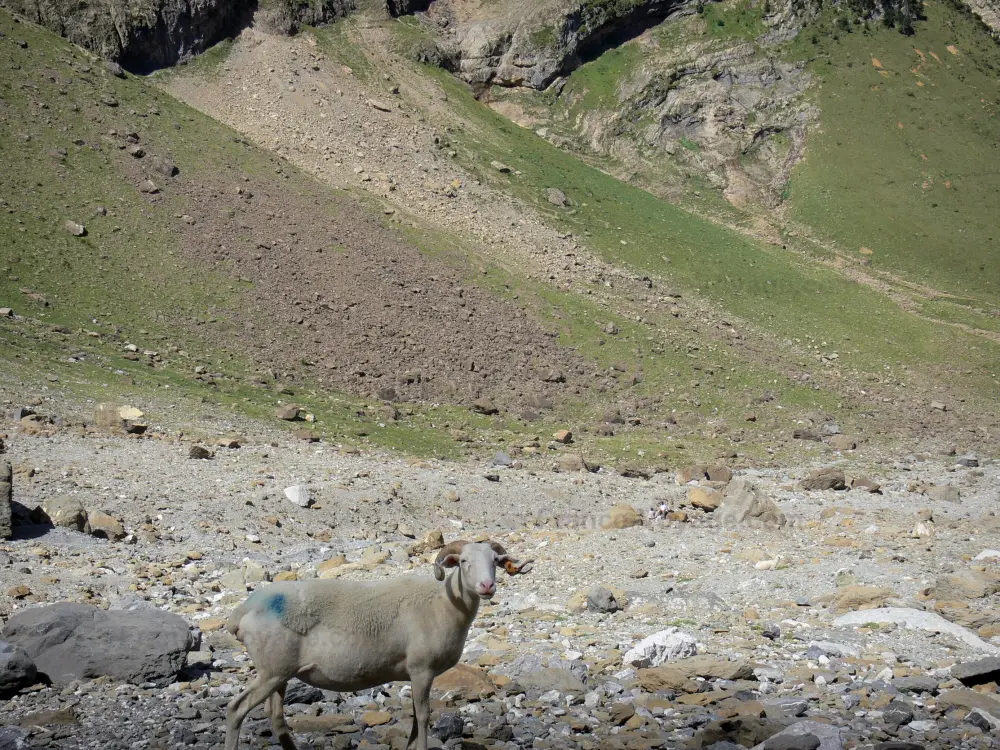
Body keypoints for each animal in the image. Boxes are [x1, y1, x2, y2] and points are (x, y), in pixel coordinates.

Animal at [221, 540, 532, 750]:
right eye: (464, 561)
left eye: (495, 560)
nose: (487, 586)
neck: (442, 604)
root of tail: (242, 612)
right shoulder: (421, 669)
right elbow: (423, 716)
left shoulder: (417, 674)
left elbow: (416, 718)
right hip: (271, 670)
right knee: (237, 709)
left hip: (280, 672)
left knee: (275, 717)